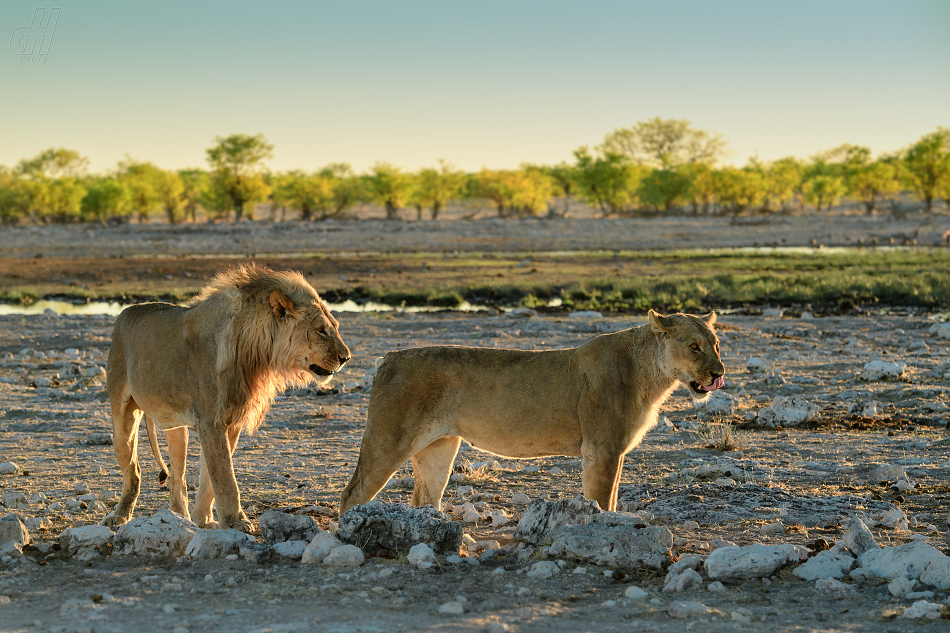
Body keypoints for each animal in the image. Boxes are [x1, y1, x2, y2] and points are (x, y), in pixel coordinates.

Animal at [108, 262, 352, 528]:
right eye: (321, 330)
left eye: (335, 327)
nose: (346, 358)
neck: (253, 353)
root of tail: (125, 312)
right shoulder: (211, 421)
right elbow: (225, 479)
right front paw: (236, 523)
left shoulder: (231, 420)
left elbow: (211, 479)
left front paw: (204, 521)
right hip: (122, 414)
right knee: (133, 471)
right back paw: (120, 515)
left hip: (176, 427)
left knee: (176, 477)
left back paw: (180, 518)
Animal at [346, 310, 724, 512]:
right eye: (694, 347)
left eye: (716, 345)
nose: (719, 374)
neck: (652, 373)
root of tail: (388, 357)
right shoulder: (602, 449)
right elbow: (602, 499)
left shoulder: (613, 451)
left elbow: (612, 498)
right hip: (387, 440)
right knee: (352, 493)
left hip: (438, 447)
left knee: (425, 497)